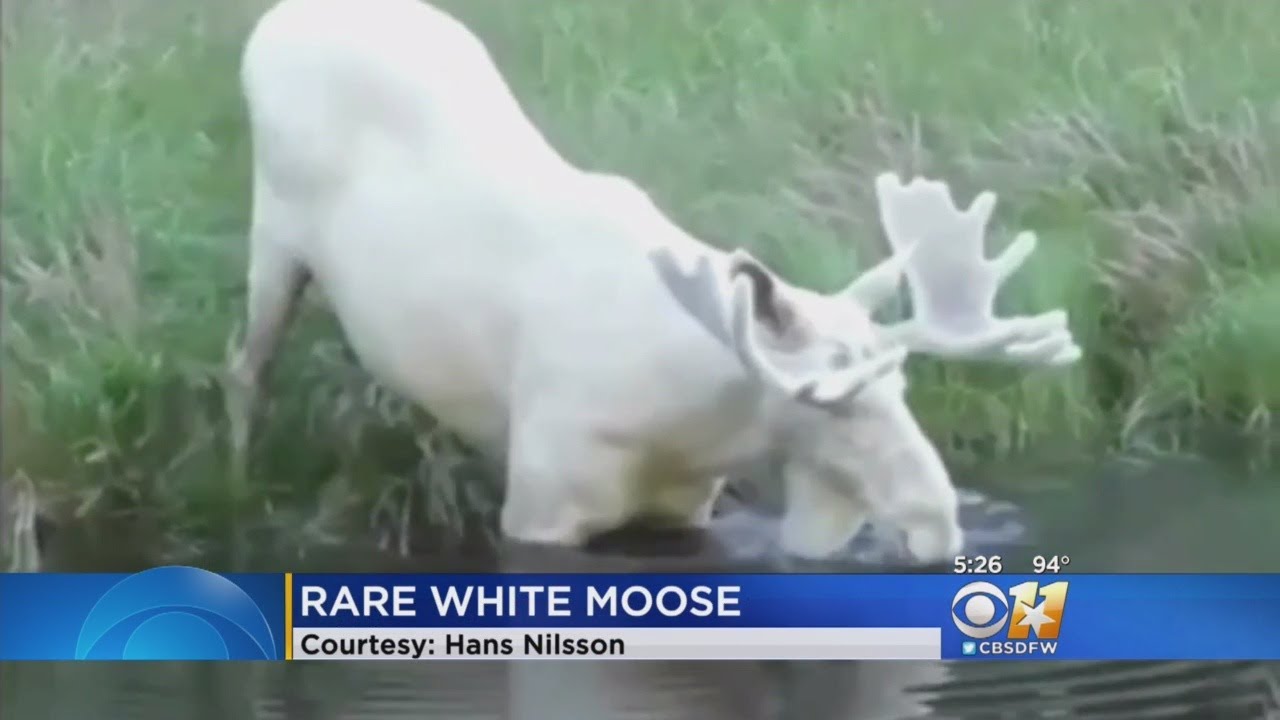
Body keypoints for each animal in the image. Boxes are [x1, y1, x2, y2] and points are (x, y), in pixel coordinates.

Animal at [227, 0, 1081, 565]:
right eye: (833, 405)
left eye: (902, 386)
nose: (938, 521)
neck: (690, 425)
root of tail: (276, 20)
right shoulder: (539, 505)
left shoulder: (686, 508)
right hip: (273, 236)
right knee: (245, 365)